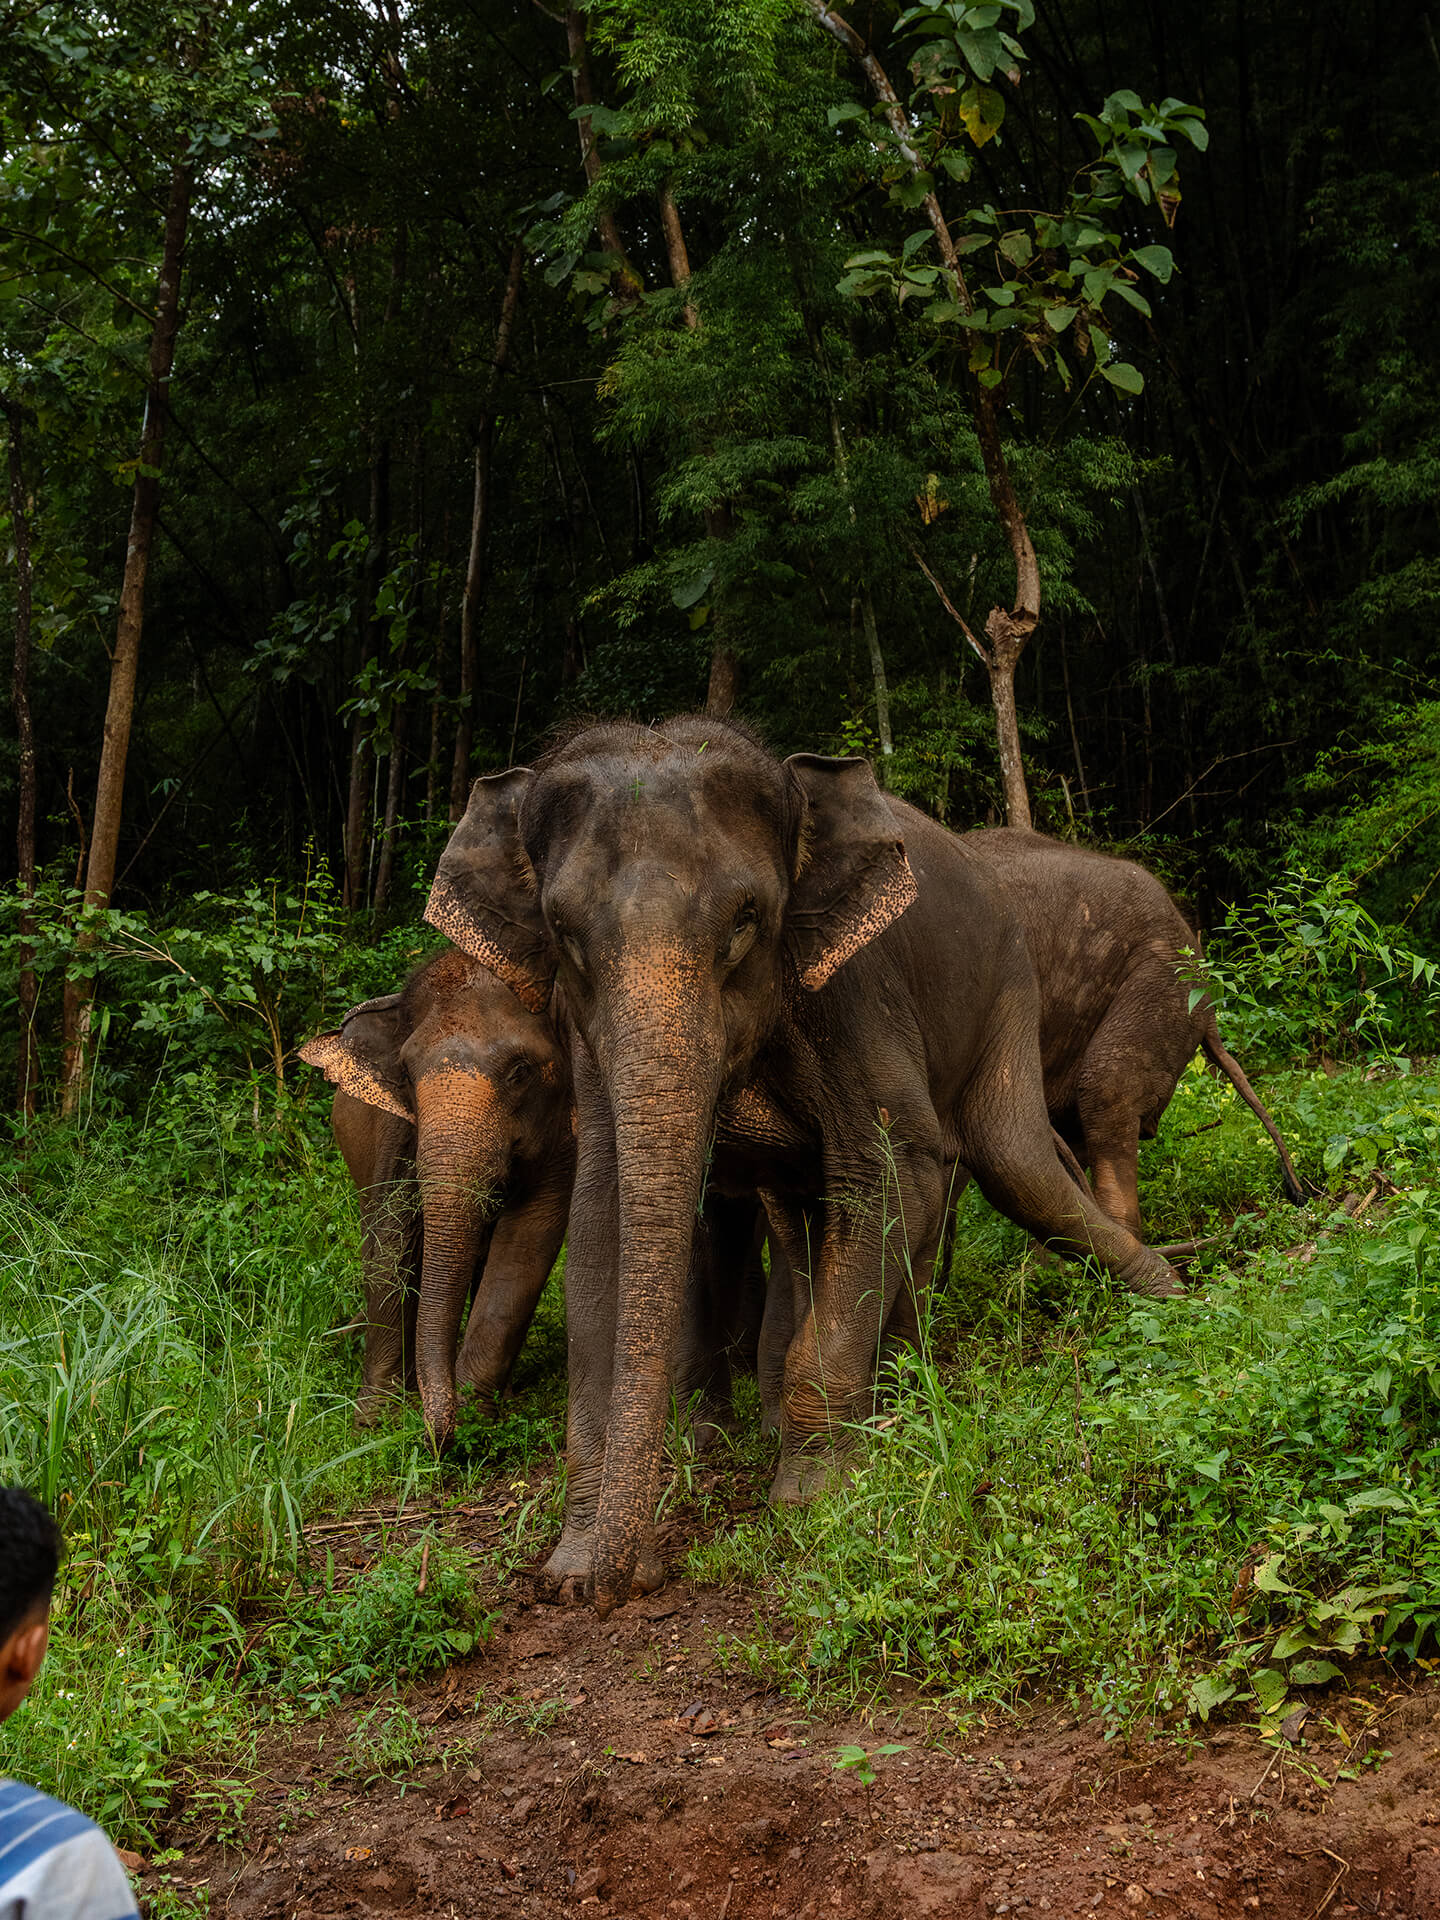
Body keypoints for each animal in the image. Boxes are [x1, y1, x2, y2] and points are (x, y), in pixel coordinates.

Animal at [299, 944, 575, 1448]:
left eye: (521, 1071)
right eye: (406, 1073)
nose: (435, 1432)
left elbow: (529, 1233)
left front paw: (472, 1417)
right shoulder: (397, 1128)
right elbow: (392, 1236)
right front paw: (375, 1421)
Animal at [425, 715, 1182, 1615]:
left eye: (747, 919)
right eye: (565, 935)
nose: (621, 1584)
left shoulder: (855, 987)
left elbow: (897, 1167)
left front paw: (811, 1503)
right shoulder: (584, 1040)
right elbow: (602, 1220)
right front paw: (574, 1569)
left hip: (1008, 987)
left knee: (1016, 1167)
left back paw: (1172, 1298)